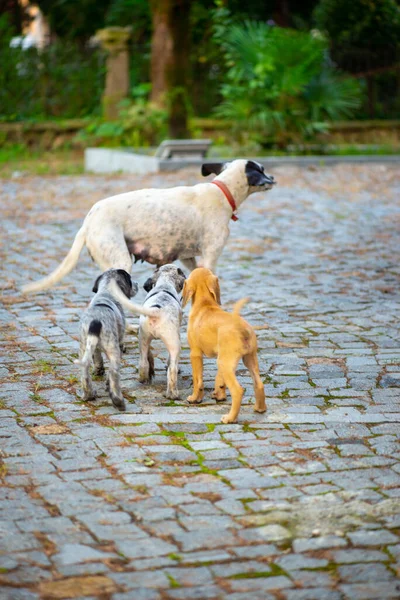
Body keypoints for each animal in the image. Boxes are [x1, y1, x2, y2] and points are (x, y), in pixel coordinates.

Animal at [20, 158, 274, 292]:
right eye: (262, 169)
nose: (273, 178)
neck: (222, 191)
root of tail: (88, 220)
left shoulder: (188, 258)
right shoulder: (211, 256)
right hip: (120, 262)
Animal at [76, 270, 157, 410]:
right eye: (130, 279)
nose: (137, 284)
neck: (106, 291)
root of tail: (95, 322)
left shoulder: (94, 348)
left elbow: (98, 360)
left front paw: (99, 371)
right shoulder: (119, 343)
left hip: (84, 347)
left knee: (84, 372)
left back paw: (88, 395)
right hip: (113, 349)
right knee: (113, 373)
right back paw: (118, 400)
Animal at [139, 264, 186, 398]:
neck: (164, 283)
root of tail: (156, 311)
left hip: (143, 338)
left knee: (143, 363)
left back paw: (144, 379)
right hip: (174, 344)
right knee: (172, 369)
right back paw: (173, 394)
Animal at [184, 268, 266, 422]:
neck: (205, 304)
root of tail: (241, 327)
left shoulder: (195, 353)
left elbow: (198, 380)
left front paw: (195, 398)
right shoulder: (220, 355)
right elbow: (219, 378)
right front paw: (219, 394)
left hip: (226, 362)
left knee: (238, 390)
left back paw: (230, 418)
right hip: (246, 359)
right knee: (259, 384)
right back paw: (260, 408)